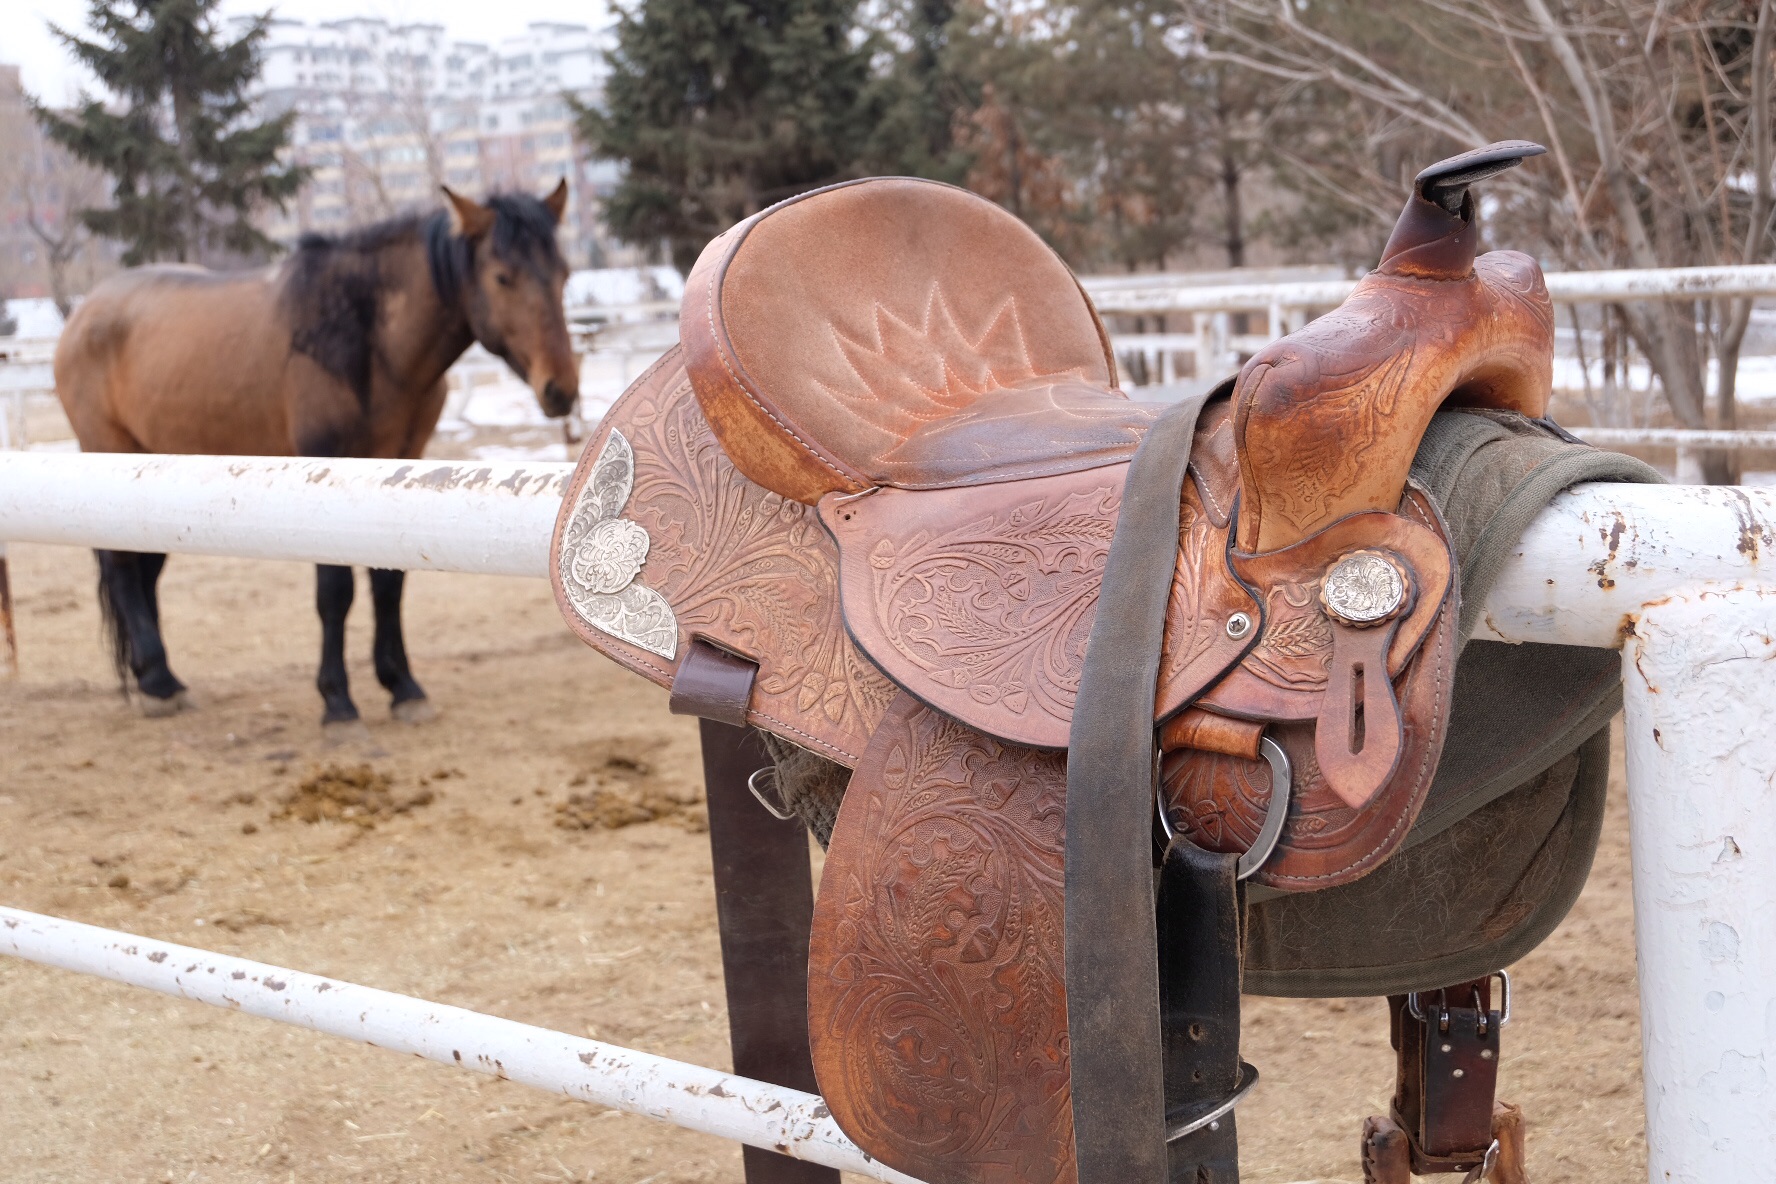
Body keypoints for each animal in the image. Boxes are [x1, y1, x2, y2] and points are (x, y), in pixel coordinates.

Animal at [55, 181, 578, 727]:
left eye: (563, 274)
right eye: (503, 276)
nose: (560, 389)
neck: (361, 337)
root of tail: (84, 312)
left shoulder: (397, 466)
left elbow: (388, 584)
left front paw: (403, 687)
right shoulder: (324, 469)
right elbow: (335, 592)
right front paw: (337, 700)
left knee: (144, 570)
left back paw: (159, 678)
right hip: (110, 456)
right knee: (120, 566)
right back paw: (157, 682)